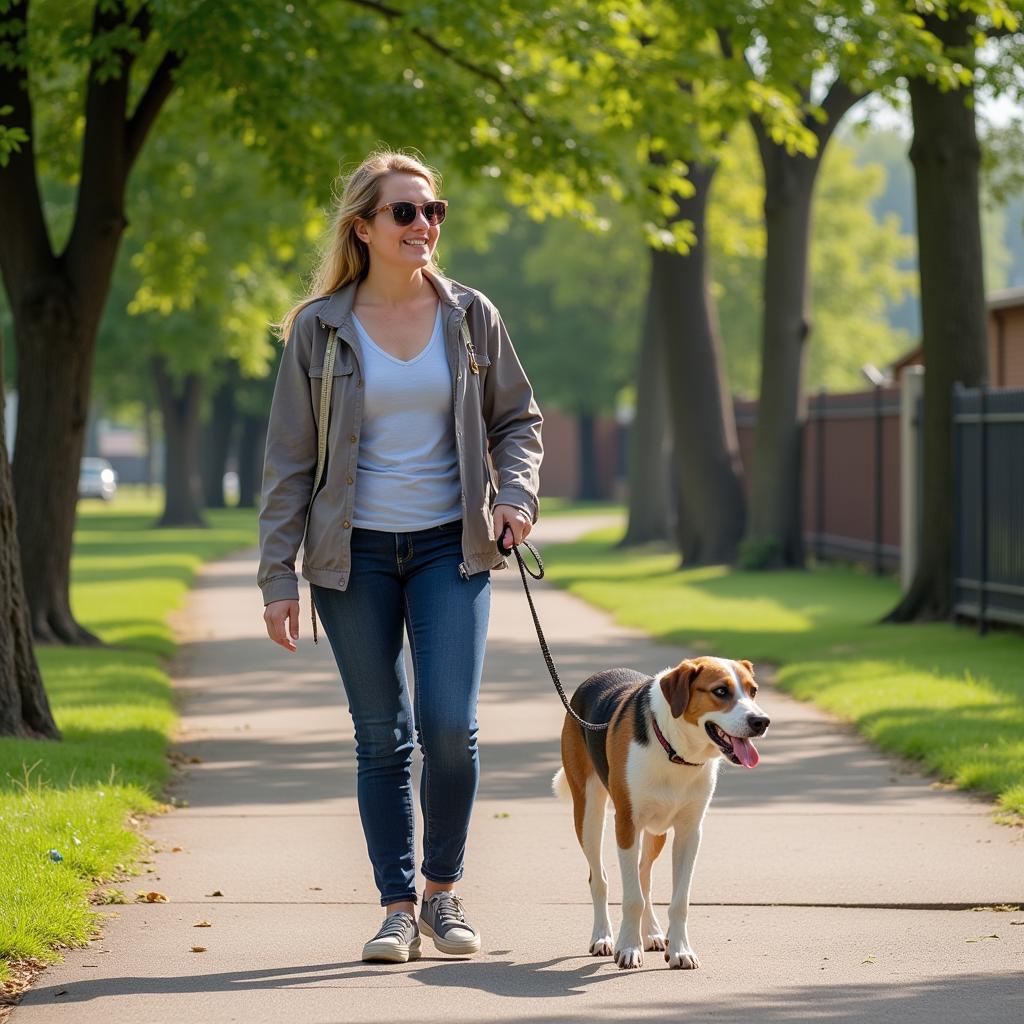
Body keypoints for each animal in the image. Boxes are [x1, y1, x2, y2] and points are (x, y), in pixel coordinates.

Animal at [552, 655, 770, 966]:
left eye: (753, 691)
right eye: (720, 691)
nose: (761, 722)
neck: (675, 751)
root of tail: (598, 675)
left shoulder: (690, 832)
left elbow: (679, 901)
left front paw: (679, 949)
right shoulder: (626, 824)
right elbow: (632, 899)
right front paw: (628, 949)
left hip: (657, 832)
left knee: (644, 876)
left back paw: (652, 932)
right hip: (588, 815)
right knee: (600, 879)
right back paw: (603, 937)